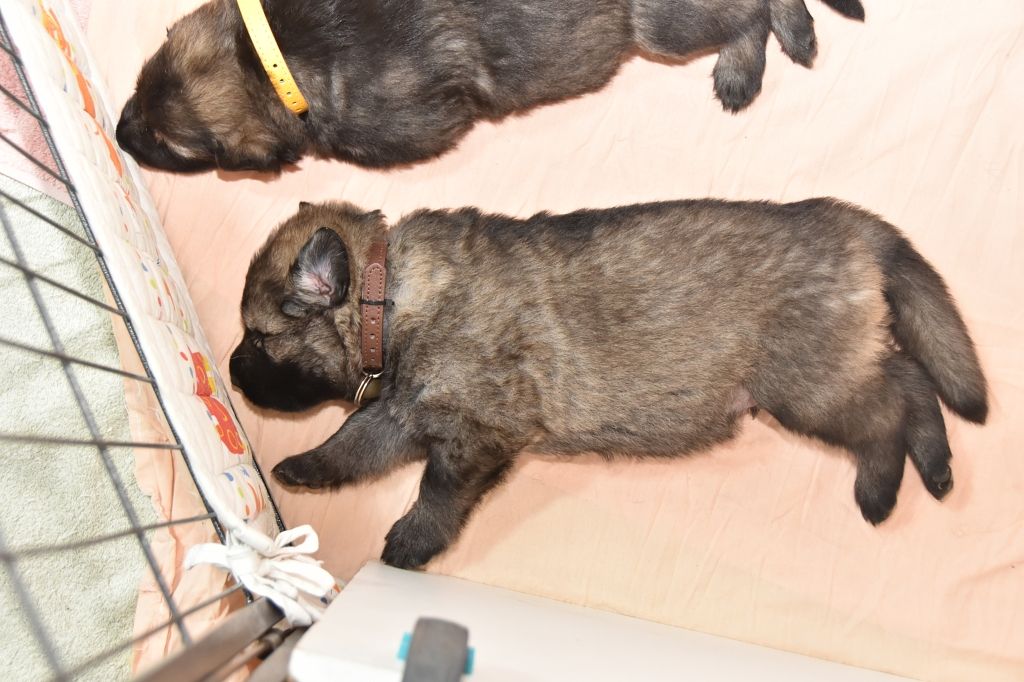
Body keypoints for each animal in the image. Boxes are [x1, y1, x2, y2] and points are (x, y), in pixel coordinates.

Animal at [229, 198, 987, 570]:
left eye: (259, 337)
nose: (233, 376)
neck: (388, 294)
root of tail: (846, 219)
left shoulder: (474, 438)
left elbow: (434, 494)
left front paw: (411, 544)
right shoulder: (400, 412)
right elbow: (352, 443)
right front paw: (302, 467)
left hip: (806, 384)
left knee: (889, 404)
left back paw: (883, 490)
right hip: (831, 367)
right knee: (907, 375)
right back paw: (938, 468)